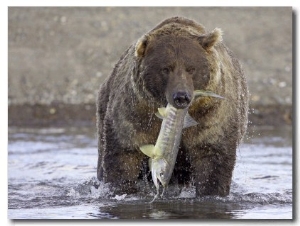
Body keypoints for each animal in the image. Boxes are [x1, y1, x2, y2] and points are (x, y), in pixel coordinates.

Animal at [96, 15, 248, 197]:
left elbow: (213, 157)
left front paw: (211, 192)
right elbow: (124, 154)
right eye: (166, 68)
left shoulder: (212, 114)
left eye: (191, 68)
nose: (181, 96)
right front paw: (123, 190)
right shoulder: (135, 111)